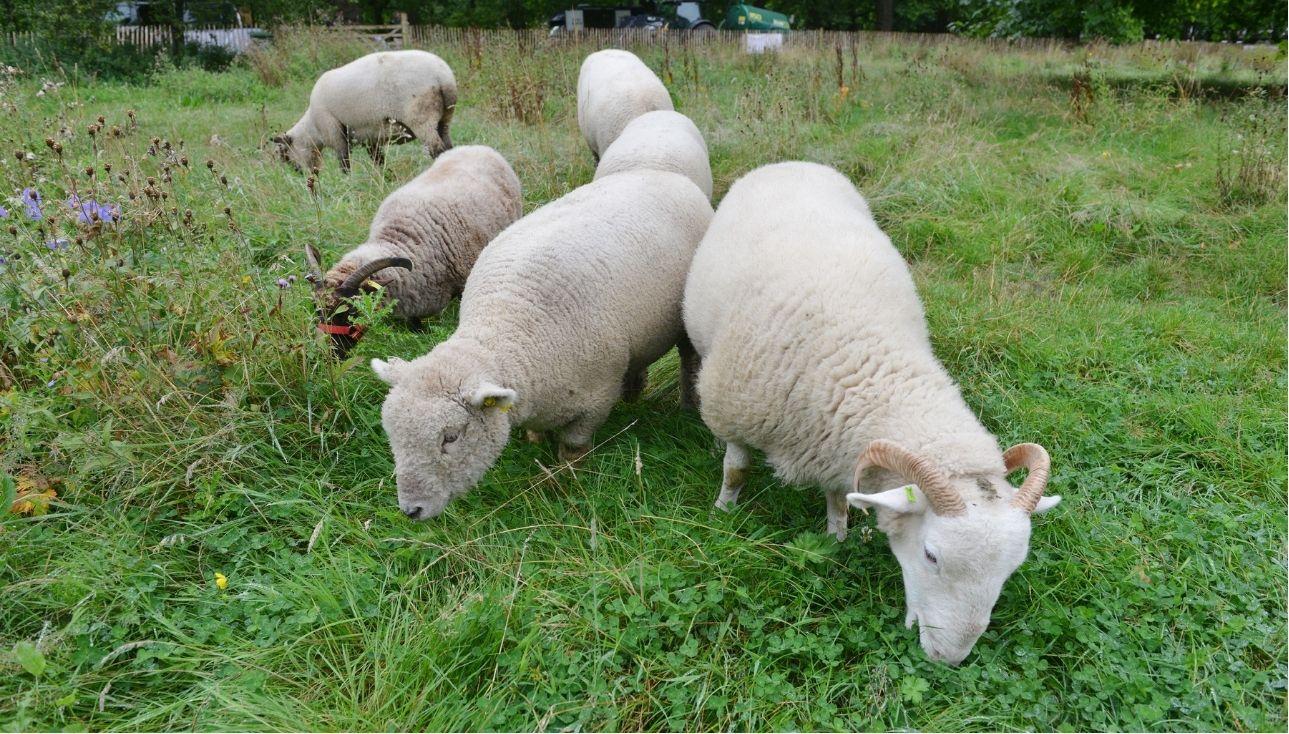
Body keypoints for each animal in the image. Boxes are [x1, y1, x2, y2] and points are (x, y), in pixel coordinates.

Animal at [273, 50, 457, 173]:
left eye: (285, 155)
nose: (302, 175)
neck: (313, 129)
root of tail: (443, 76)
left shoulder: (335, 134)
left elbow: (344, 163)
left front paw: (347, 182)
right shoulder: (370, 137)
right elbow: (378, 160)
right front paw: (385, 177)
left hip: (421, 118)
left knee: (437, 149)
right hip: (444, 118)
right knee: (448, 146)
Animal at [371, 169, 713, 521]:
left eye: (450, 437)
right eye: (392, 434)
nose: (411, 510)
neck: (506, 329)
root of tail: (661, 172)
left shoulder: (597, 398)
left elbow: (573, 449)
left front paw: (569, 480)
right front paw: (535, 440)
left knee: (688, 359)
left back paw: (687, 407)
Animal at [682, 162, 1062, 666]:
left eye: (1012, 568)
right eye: (931, 555)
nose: (950, 658)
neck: (865, 362)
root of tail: (794, 162)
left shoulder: (832, 446)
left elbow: (838, 498)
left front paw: (836, 536)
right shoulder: (738, 411)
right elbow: (736, 470)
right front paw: (723, 512)